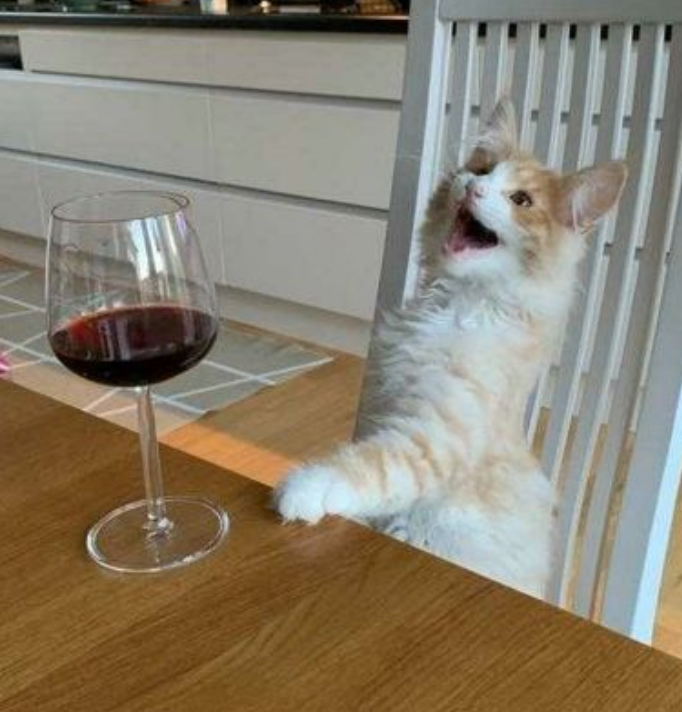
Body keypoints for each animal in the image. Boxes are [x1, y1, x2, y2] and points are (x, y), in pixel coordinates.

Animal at [274, 98, 624, 600]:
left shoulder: (436, 435)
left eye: (521, 200)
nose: (473, 187)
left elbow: (374, 465)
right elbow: (366, 454)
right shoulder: (382, 401)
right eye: (480, 169)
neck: (456, 302)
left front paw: (307, 486)